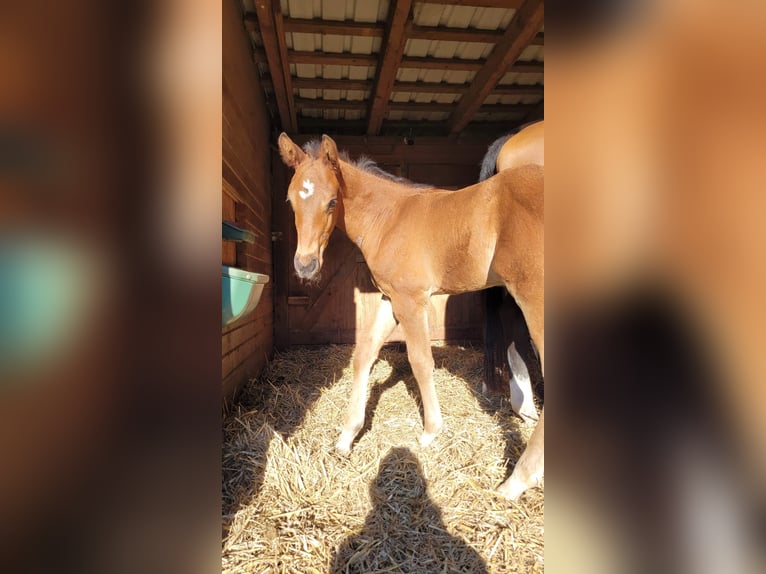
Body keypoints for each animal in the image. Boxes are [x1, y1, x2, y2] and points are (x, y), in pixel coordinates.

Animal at [278, 133, 544, 502]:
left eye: (332, 202)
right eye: (291, 201)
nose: (305, 266)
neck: (388, 219)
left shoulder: (410, 300)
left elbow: (419, 361)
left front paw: (431, 431)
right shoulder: (390, 298)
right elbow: (364, 355)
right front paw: (346, 437)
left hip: (534, 296)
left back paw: (516, 482)